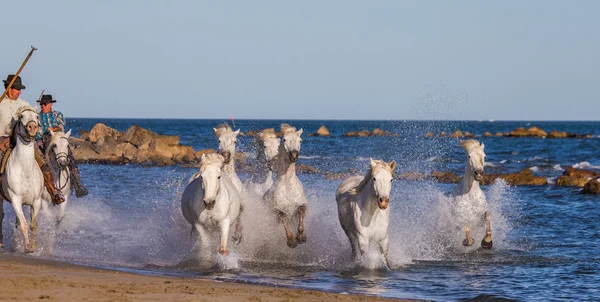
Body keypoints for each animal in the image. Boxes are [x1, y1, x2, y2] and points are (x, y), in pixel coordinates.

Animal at [0, 107, 44, 252]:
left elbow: (33, 225)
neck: (25, 170)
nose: (32, 127)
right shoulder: (16, 200)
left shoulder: (36, 201)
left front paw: (33, 247)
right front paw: (27, 246)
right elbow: (24, 225)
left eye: (37, 116)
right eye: (21, 117)